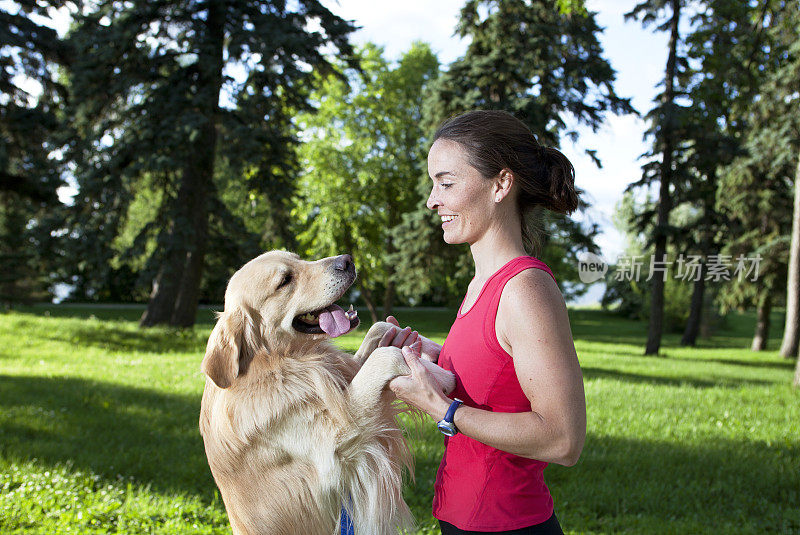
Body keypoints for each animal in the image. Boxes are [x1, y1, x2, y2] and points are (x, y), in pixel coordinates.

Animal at [198, 251, 450, 535]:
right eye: (285, 280)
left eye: (298, 258)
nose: (347, 260)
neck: (278, 362)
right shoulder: (339, 441)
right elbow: (387, 356)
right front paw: (441, 378)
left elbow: (380, 328)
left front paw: (432, 351)